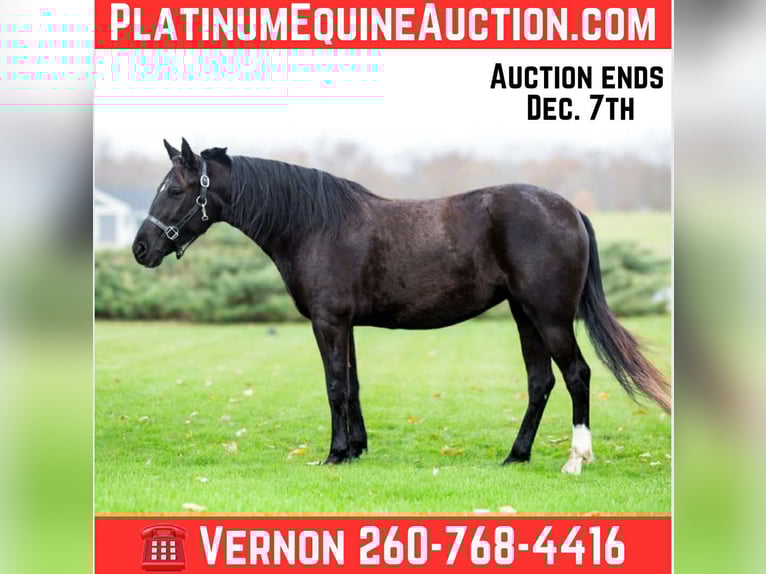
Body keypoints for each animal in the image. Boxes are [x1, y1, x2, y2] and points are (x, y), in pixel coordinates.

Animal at [132, 138, 670, 474]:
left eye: (175, 189)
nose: (140, 249)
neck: (313, 224)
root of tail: (570, 209)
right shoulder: (346, 324)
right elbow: (352, 385)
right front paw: (355, 450)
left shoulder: (329, 322)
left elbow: (334, 386)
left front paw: (334, 455)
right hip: (525, 315)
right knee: (541, 382)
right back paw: (515, 456)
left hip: (550, 316)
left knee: (578, 375)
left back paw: (576, 459)